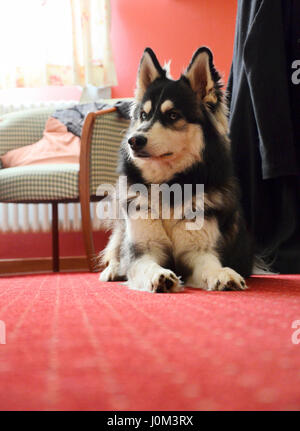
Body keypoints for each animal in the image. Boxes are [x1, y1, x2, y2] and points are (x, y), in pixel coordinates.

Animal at [99, 47, 254, 294]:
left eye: (172, 115)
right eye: (144, 116)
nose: (134, 141)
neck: (168, 186)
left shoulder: (197, 250)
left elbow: (210, 265)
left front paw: (223, 273)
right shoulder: (143, 248)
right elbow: (143, 264)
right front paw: (159, 275)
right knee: (117, 247)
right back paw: (113, 269)